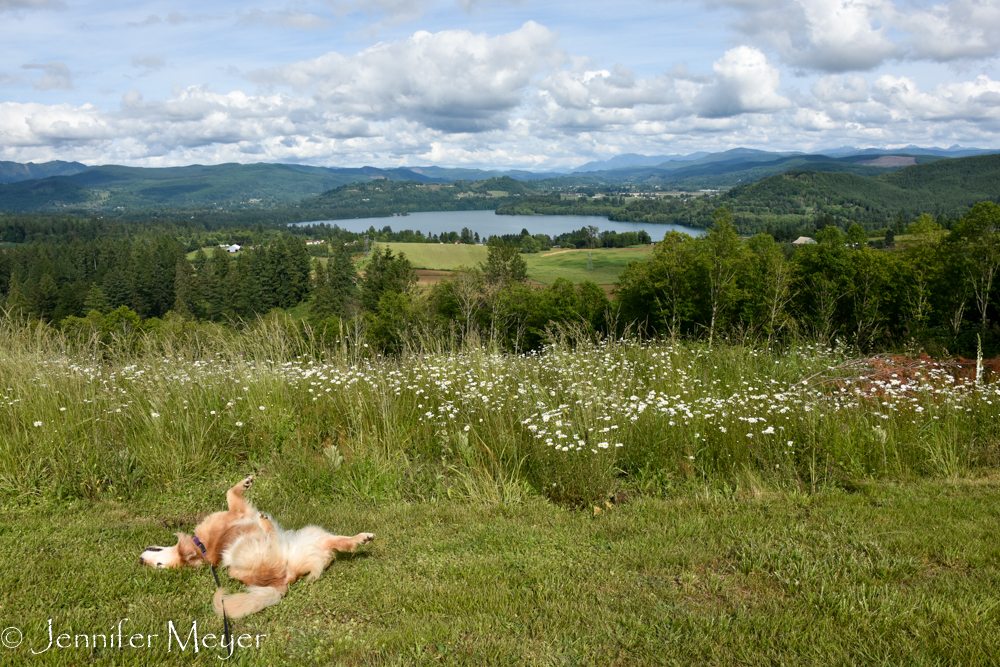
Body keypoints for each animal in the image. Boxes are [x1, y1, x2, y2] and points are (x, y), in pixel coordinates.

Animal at [139, 478, 374, 620]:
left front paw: (245, 483)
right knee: (273, 541)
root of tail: (285, 579)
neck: (202, 548)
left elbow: (229, 493)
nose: (141, 561)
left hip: (310, 537)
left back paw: (362, 539)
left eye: (159, 565)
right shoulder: (238, 513)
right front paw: (244, 486)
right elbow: (230, 495)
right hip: (241, 552)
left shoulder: (240, 512)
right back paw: (265, 523)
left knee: (340, 543)